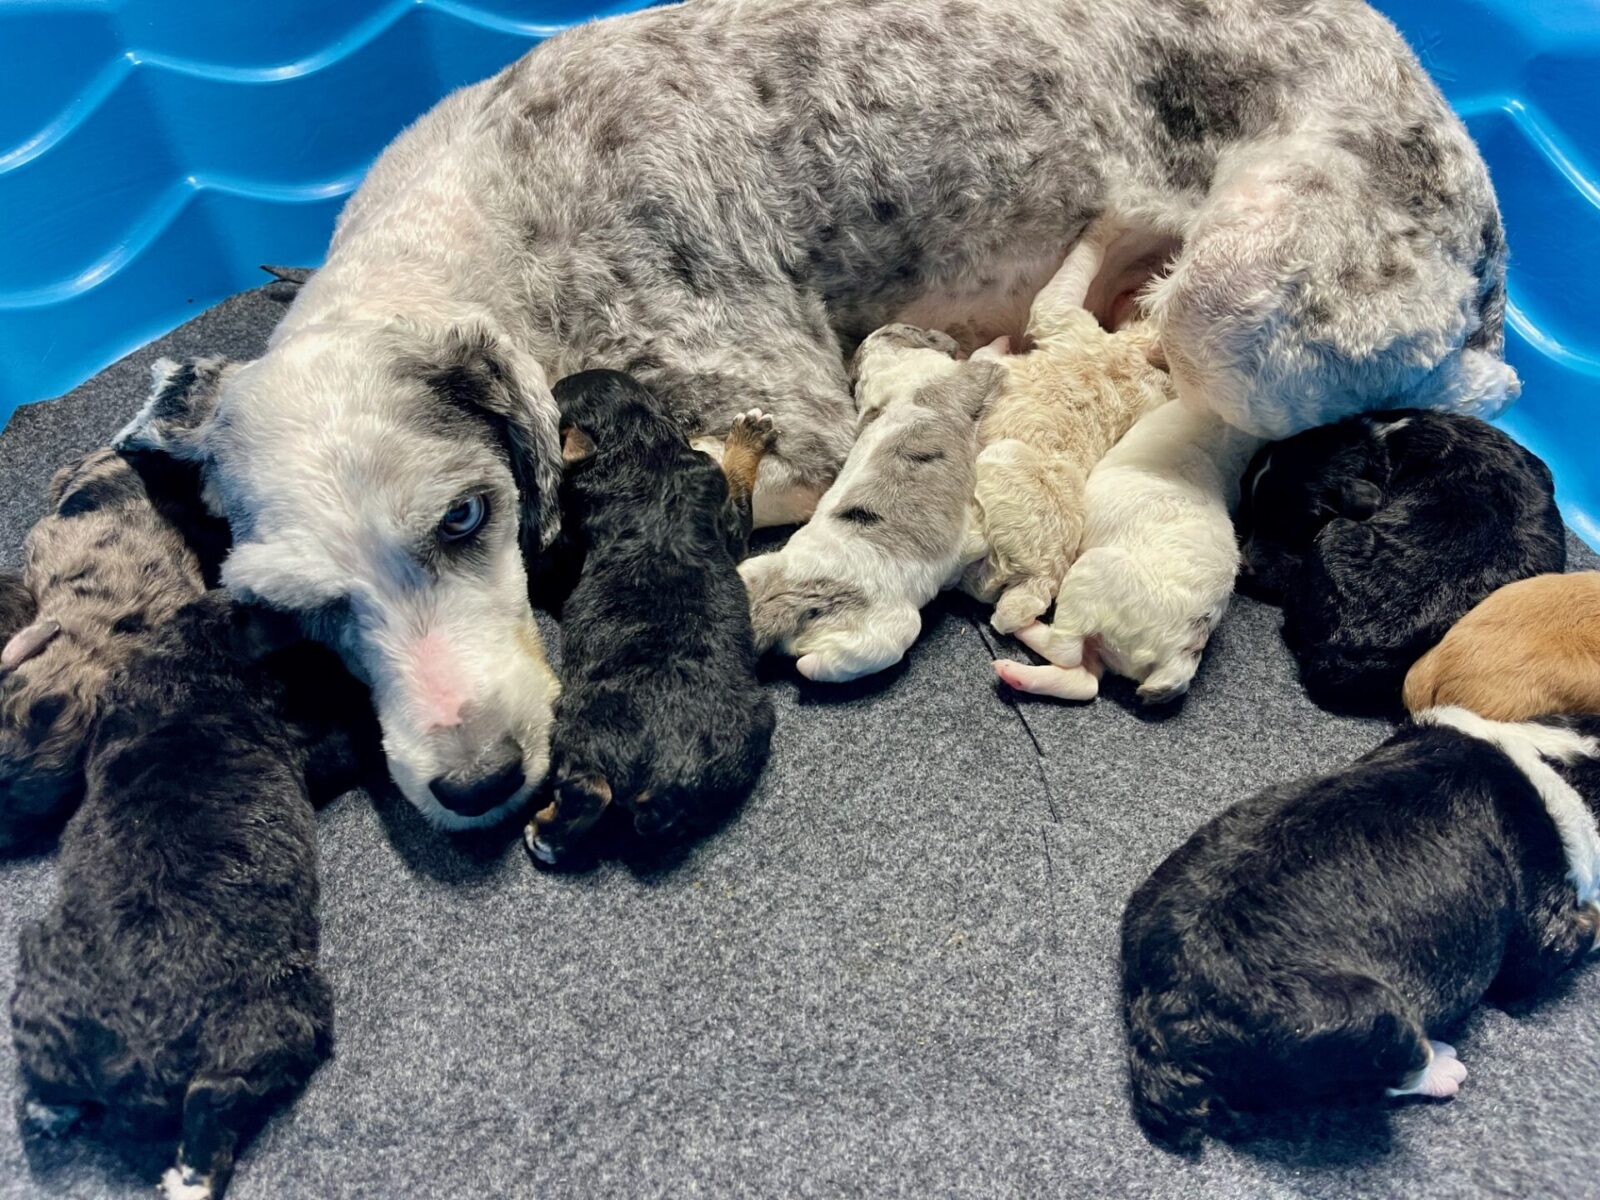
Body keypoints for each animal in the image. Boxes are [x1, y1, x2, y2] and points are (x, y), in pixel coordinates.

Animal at [524, 371, 776, 865]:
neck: (640, 448)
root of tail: (662, 775)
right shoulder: (724, 516)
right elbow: (737, 498)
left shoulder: (565, 549)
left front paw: (748, 434)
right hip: (755, 724)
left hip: (576, 727)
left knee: (588, 790)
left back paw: (543, 833)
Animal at [742, 327, 998, 682]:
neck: (887, 366)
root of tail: (786, 599)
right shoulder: (962, 375)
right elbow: (988, 360)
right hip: (885, 635)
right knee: (816, 665)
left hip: (755, 568)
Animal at [958, 219, 1174, 633]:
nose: (1132, 288)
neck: (1142, 359)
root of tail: (1041, 581)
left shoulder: (1063, 319)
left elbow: (1071, 274)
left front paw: (1107, 226)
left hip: (1003, 461)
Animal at [994, 399, 1262, 704]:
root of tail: (1183, 650)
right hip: (1104, 642)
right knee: (1084, 680)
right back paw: (1016, 674)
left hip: (1095, 571)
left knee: (1065, 651)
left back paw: (1019, 624)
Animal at [1122, 706, 1600, 1150]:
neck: (1557, 754)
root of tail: (1163, 1011)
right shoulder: (1544, 922)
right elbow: (1565, 942)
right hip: (1375, 1019)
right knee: (1387, 1078)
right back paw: (1443, 1066)